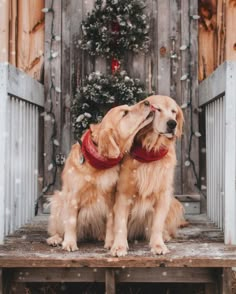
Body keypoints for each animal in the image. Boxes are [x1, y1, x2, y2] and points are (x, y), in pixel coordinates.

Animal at [46, 100, 154, 252]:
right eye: (125, 113)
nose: (148, 102)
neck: (97, 161)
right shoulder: (73, 196)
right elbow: (71, 222)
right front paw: (69, 243)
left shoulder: (111, 197)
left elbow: (111, 221)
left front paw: (110, 242)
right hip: (57, 200)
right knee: (55, 228)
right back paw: (55, 239)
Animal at [110, 95, 184, 256]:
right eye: (158, 109)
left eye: (173, 112)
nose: (172, 124)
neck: (151, 150)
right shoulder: (124, 193)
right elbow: (120, 224)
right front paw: (119, 246)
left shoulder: (163, 194)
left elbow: (157, 224)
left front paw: (158, 245)